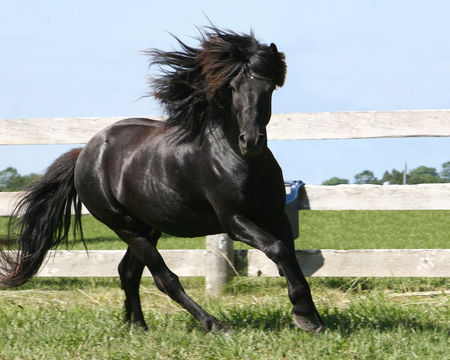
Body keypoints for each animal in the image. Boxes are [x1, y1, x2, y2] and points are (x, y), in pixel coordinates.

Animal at [0, 26, 324, 334]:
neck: (241, 161)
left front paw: (311, 316)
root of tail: (84, 154)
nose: (252, 141)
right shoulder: (234, 220)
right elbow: (278, 249)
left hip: (148, 225)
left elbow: (290, 255)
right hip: (125, 226)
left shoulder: (275, 215)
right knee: (163, 278)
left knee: (128, 272)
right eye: (233, 88)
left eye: (268, 88)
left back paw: (138, 327)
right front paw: (304, 315)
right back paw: (214, 325)